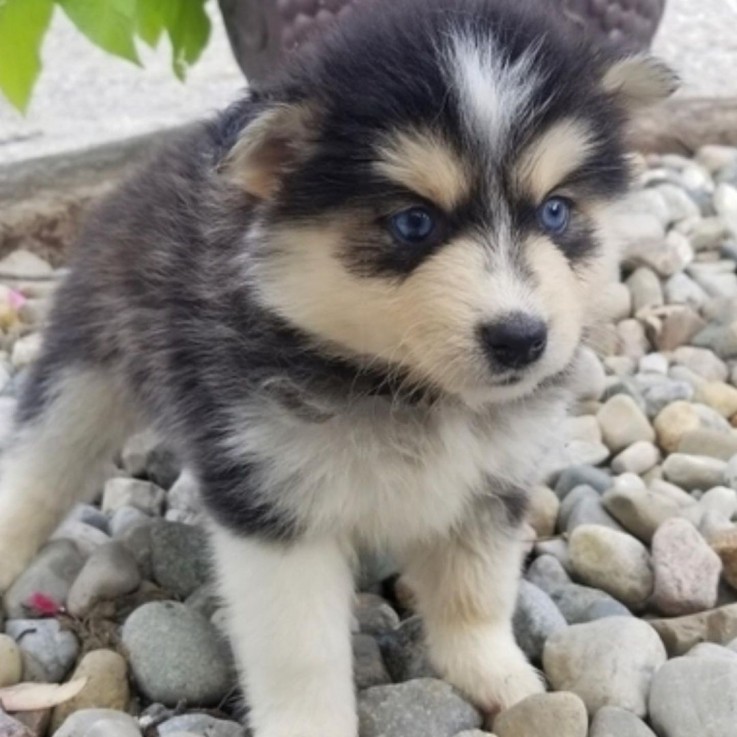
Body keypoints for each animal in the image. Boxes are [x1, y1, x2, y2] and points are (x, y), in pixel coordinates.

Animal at [0, 2, 672, 732]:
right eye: (413, 223)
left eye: (555, 211)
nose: (520, 338)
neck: (406, 390)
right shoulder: (272, 504)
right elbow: (300, 652)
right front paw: (311, 721)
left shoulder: (493, 483)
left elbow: (476, 591)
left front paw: (502, 678)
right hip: (85, 371)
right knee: (41, 467)